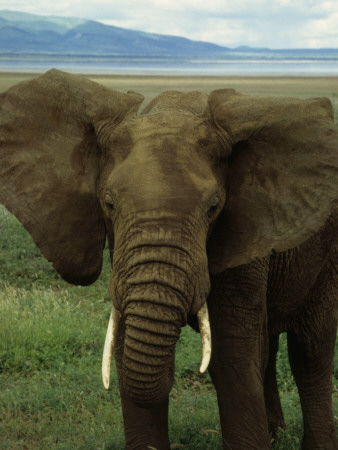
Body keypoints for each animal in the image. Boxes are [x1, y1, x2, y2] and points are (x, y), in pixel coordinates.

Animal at [0, 68, 336, 448]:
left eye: (214, 207)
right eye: (108, 203)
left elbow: (233, 358)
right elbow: (126, 345)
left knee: (310, 350)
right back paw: (276, 434)